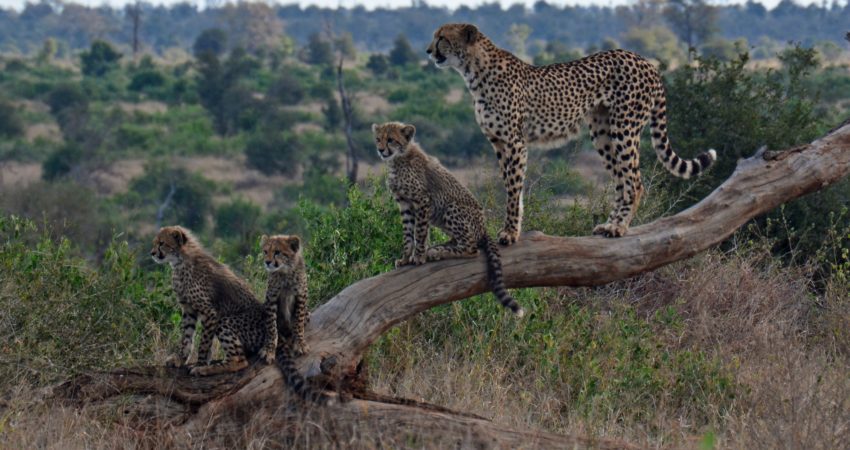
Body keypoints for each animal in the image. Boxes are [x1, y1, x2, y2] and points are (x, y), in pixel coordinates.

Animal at [424, 23, 716, 243]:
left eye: (442, 38)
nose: (428, 51)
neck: (474, 70)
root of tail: (644, 60)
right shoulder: (499, 143)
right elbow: (510, 186)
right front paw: (511, 228)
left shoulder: (515, 143)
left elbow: (513, 189)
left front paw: (510, 233)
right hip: (602, 133)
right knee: (621, 182)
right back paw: (608, 225)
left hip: (624, 128)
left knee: (634, 182)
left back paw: (619, 227)